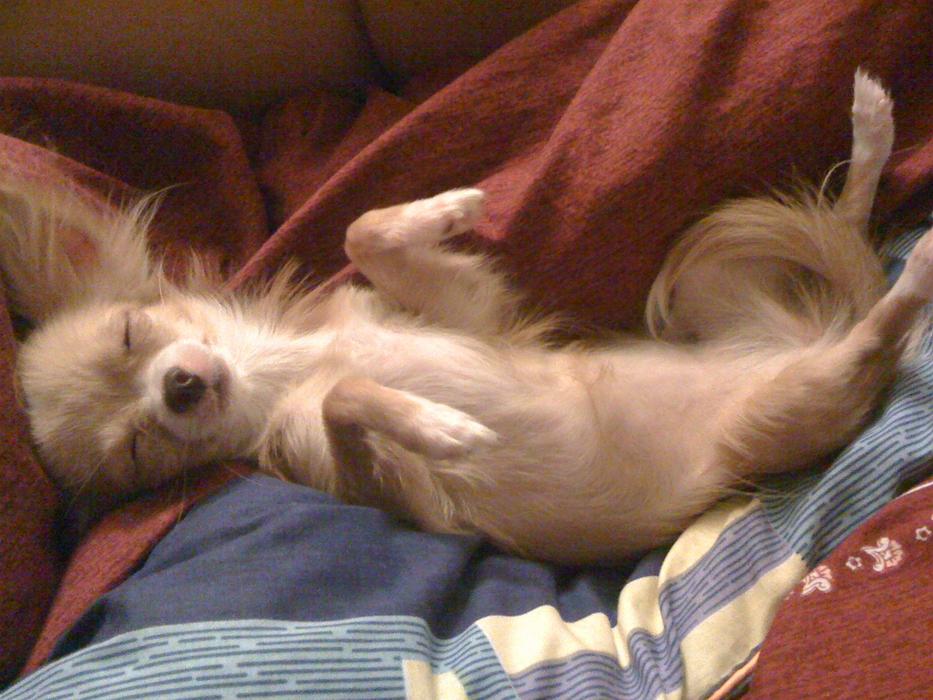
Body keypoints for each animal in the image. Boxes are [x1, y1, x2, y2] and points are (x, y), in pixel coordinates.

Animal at [1, 71, 930, 563]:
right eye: (137, 450)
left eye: (133, 332)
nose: (182, 388)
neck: (287, 367)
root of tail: (804, 338)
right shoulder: (387, 490)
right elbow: (348, 399)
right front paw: (441, 425)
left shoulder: (464, 311)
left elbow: (362, 230)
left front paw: (450, 208)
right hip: (783, 410)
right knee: (875, 336)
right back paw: (915, 265)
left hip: (710, 287)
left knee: (845, 227)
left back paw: (872, 129)